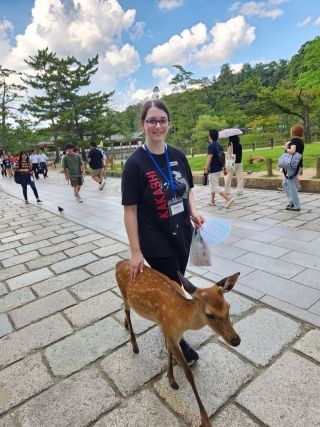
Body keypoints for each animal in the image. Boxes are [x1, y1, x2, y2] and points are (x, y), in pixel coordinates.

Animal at [115, 260, 240, 427]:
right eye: (210, 314)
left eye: (228, 307)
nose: (236, 340)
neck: (181, 318)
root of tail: (119, 263)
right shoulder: (169, 329)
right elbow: (188, 373)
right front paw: (205, 420)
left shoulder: (170, 332)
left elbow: (169, 351)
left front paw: (171, 379)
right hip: (123, 293)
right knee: (127, 310)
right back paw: (135, 346)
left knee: (124, 309)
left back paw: (125, 324)